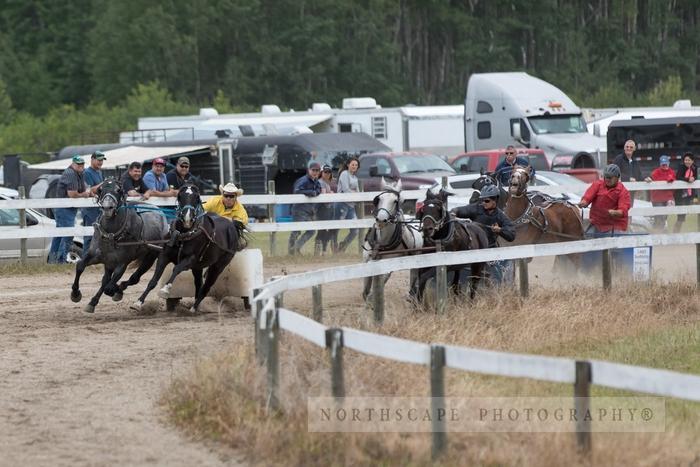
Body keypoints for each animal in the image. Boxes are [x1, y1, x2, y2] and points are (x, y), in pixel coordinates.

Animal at [70, 179, 170, 314]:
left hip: (150, 256)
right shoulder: (96, 255)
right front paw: (75, 294)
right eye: (100, 189)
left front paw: (117, 290)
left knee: (134, 278)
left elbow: (109, 287)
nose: (107, 207)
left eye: (118, 190)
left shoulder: (122, 263)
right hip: (109, 262)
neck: (111, 234)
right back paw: (93, 302)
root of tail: (161, 214)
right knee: (105, 280)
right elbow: (80, 266)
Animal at [133, 184, 247, 314]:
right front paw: (138, 302)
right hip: (198, 267)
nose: (187, 218)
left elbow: (176, 269)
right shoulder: (164, 256)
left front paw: (165, 289)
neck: (184, 234)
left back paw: (194, 308)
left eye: (197, 197)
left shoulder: (190, 259)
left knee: (206, 287)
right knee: (199, 284)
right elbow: (153, 280)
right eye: (180, 196)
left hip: (218, 266)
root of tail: (231, 225)